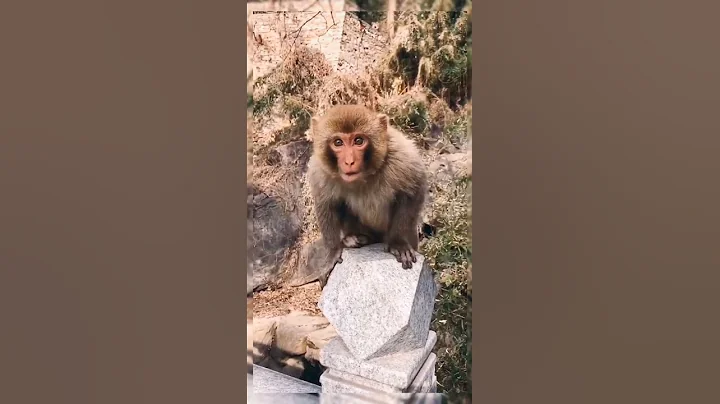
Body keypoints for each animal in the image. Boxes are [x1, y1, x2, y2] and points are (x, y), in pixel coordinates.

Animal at [306, 105, 428, 287]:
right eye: (338, 142)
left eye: (358, 141)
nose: (349, 161)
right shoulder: (320, 170)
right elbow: (325, 203)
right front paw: (333, 252)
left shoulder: (401, 157)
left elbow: (414, 189)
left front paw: (397, 242)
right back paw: (359, 238)